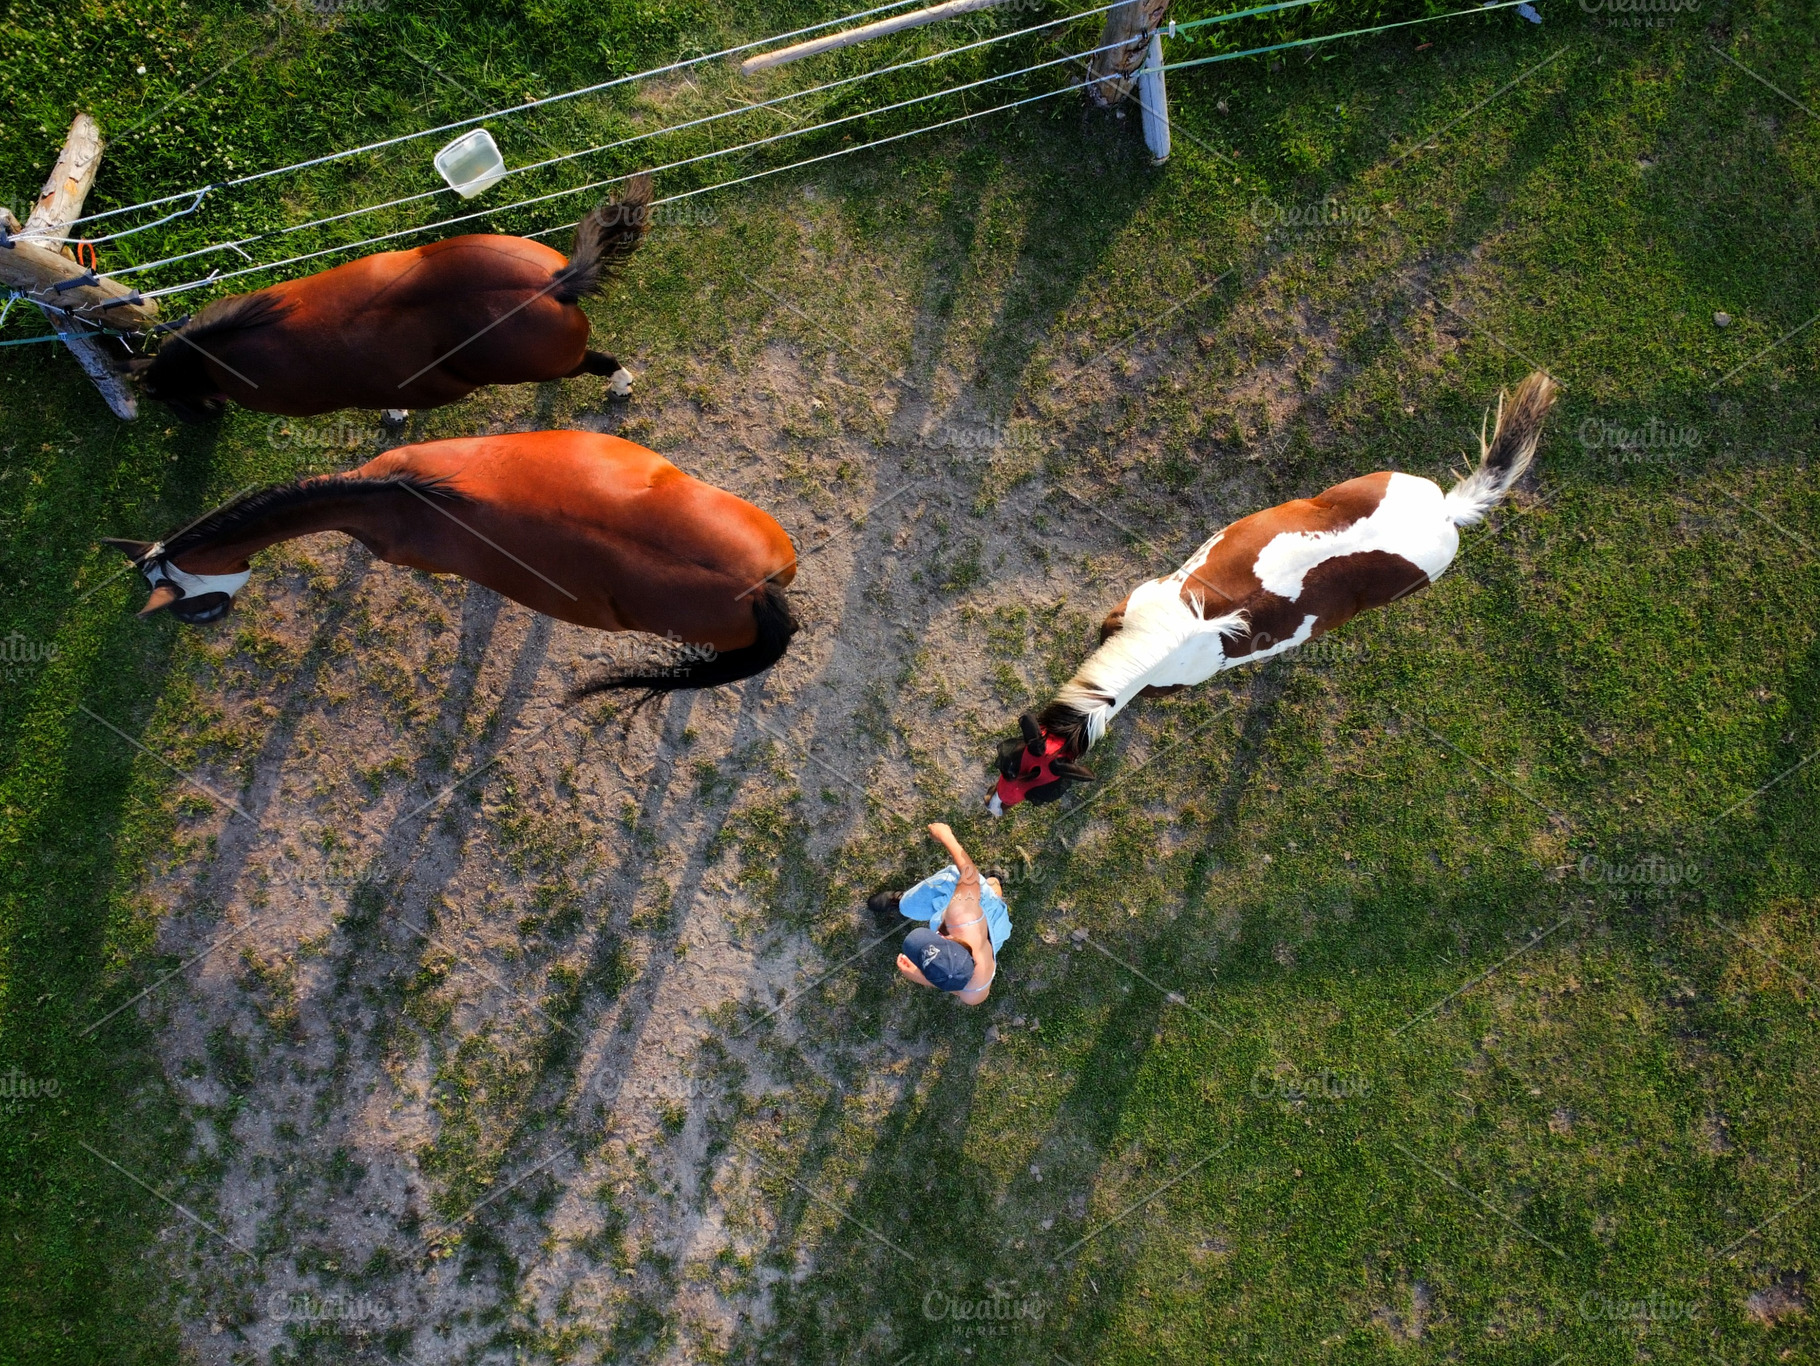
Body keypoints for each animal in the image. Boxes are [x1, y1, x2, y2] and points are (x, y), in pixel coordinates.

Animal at [131, 175, 653, 423]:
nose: (201, 419)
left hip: (548, 363)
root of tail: (558, 283)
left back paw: (621, 385)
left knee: (600, 362)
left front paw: (394, 417)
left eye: (165, 400)